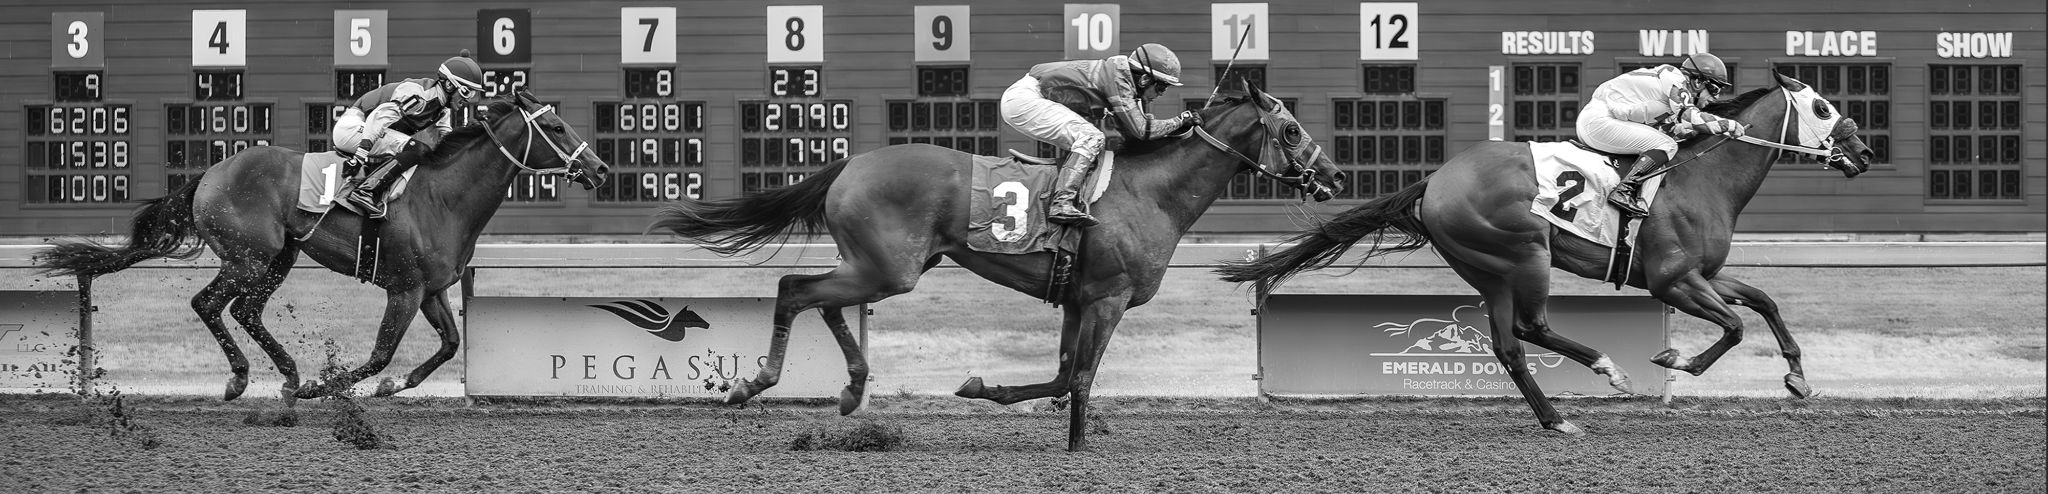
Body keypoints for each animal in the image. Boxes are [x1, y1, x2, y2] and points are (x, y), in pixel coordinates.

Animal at [37, 91, 607, 401]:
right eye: (555, 124)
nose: (599, 169)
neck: (442, 197)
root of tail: (211, 172)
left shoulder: (431, 290)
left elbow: (449, 344)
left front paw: (393, 385)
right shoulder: (404, 289)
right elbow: (380, 354)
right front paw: (328, 387)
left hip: (278, 258)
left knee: (243, 311)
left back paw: (286, 376)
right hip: (249, 257)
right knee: (209, 304)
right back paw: (246, 379)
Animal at [650, 79, 1345, 451]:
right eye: (1288, 130)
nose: (1336, 176)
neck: (1150, 192)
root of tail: (849, 163)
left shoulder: (1078, 299)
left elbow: (1062, 375)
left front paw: (983, 387)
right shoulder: (1109, 298)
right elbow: (1080, 378)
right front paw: (1076, 443)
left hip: (878, 264)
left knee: (817, 297)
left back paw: (850, 389)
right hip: (891, 269)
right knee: (796, 288)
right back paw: (757, 383)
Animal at [1217, 71, 1873, 434]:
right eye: (1822, 109)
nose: (1864, 153)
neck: (1700, 176)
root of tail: (1435, 181)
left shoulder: (1704, 275)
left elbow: (1762, 302)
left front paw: (1798, 378)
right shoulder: (1673, 281)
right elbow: (1735, 326)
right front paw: (1677, 361)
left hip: (1487, 271)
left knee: (1510, 346)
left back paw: (1556, 418)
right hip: (1526, 255)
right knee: (1531, 328)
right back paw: (1608, 370)